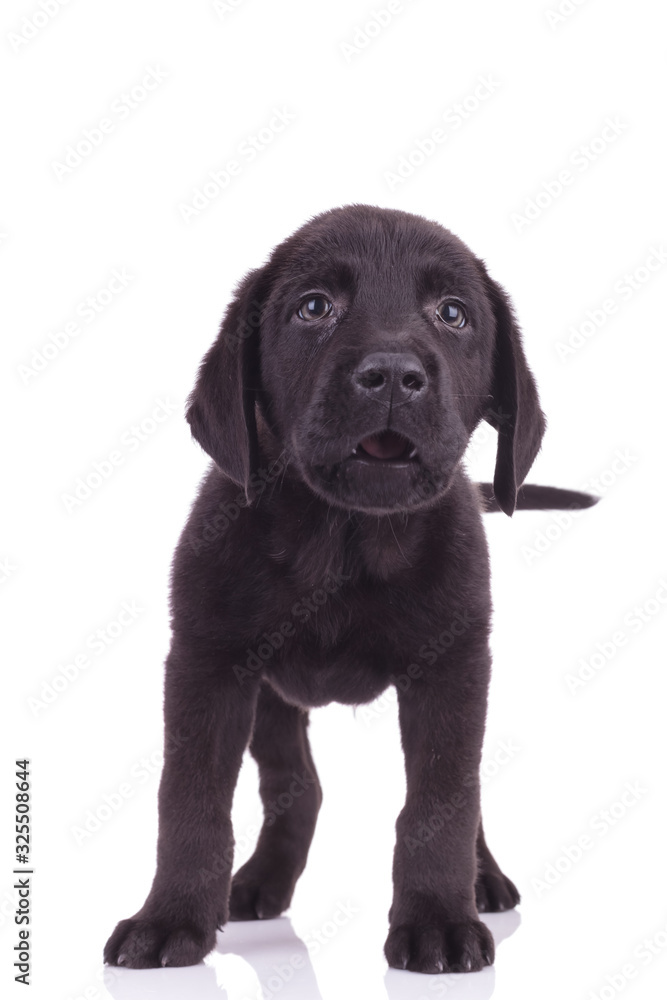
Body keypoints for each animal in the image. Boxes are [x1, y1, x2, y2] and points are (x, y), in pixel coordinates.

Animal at [105, 205, 600, 976]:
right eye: (314, 308)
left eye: (452, 314)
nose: (392, 373)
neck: (341, 542)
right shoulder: (206, 664)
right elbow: (189, 802)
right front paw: (171, 919)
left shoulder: (452, 670)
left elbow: (441, 804)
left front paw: (438, 921)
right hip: (272, 699)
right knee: (297, 787)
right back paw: (259, 883)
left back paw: (481, 880)